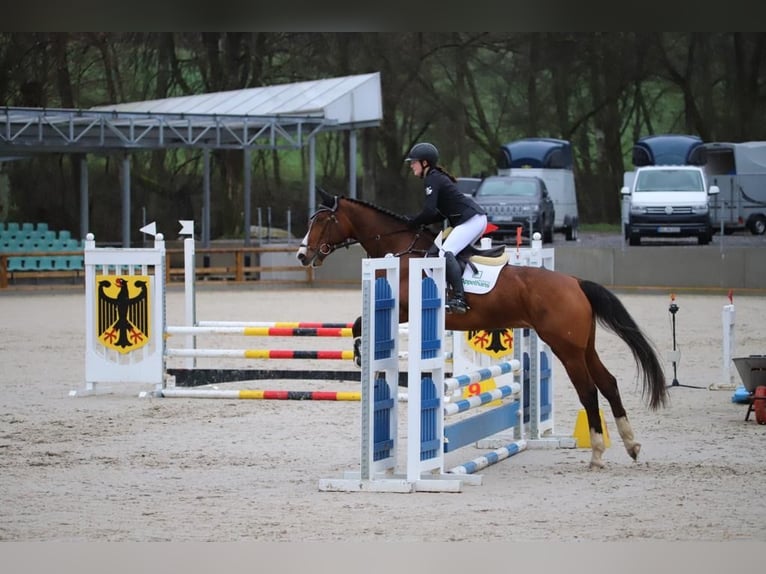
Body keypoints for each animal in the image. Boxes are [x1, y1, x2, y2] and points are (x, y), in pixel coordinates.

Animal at [296, 191, 668, 470]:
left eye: (322, 221)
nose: (302, 255)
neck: (402, 251)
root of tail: (575, 282)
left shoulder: (403, 310)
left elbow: (359, 323)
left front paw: (361, 351)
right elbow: (358, 323)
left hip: (566, 348)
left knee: (589, 391)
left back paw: (597, 455)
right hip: (584, 346)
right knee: (608, 383)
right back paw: (631, 445)